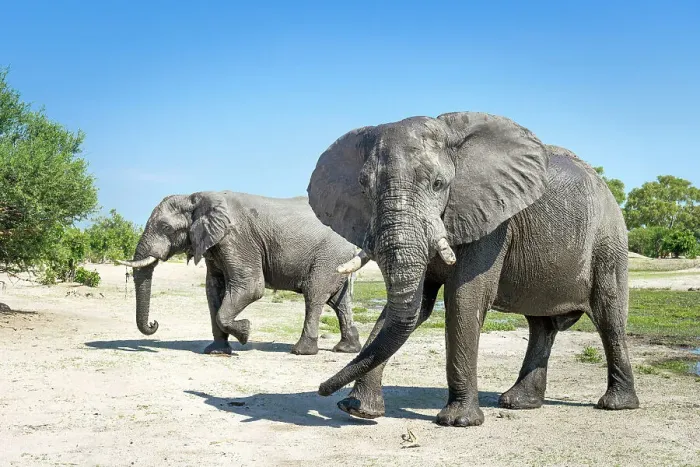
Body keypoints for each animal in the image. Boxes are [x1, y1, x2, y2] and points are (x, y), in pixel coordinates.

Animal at [119, 191, 363, 356]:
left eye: (166, 228)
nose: (154, 324)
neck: (196, 197)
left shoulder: (236, 238)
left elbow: (251, 287)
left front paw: (245, 332)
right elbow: (213, 290)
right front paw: (217, 351)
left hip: (328, 256)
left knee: (314, 295)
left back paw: (301, 351)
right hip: (336, 260)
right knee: (339, 302)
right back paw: (346, 348)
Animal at [307, 112, 639, 426]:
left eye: (438, 184)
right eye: (364, 186)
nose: (322, 389)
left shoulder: (493, 222)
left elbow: (463, 298)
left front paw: (458, 421)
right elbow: (415, 305)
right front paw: (358, 410)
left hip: (608, 240)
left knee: (609, 316)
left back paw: (616, 404)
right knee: (541, 326)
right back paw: (517, 402)